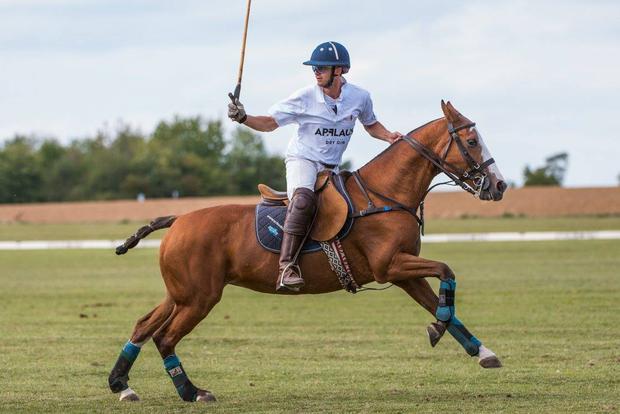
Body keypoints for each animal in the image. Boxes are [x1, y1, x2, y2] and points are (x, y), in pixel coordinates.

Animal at [110, 100, 508, 402]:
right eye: (472, 140)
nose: (499, 185)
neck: (384, 195)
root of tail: (177, 220)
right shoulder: (391, 266)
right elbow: (446, 270)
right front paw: (438, 329)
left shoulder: (402, 274)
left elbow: (443, 304)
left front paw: (480, 351)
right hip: (199, 297)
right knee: (164, 337)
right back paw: (191, 392)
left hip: (182, 293)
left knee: (144, 324)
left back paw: (122, 385)